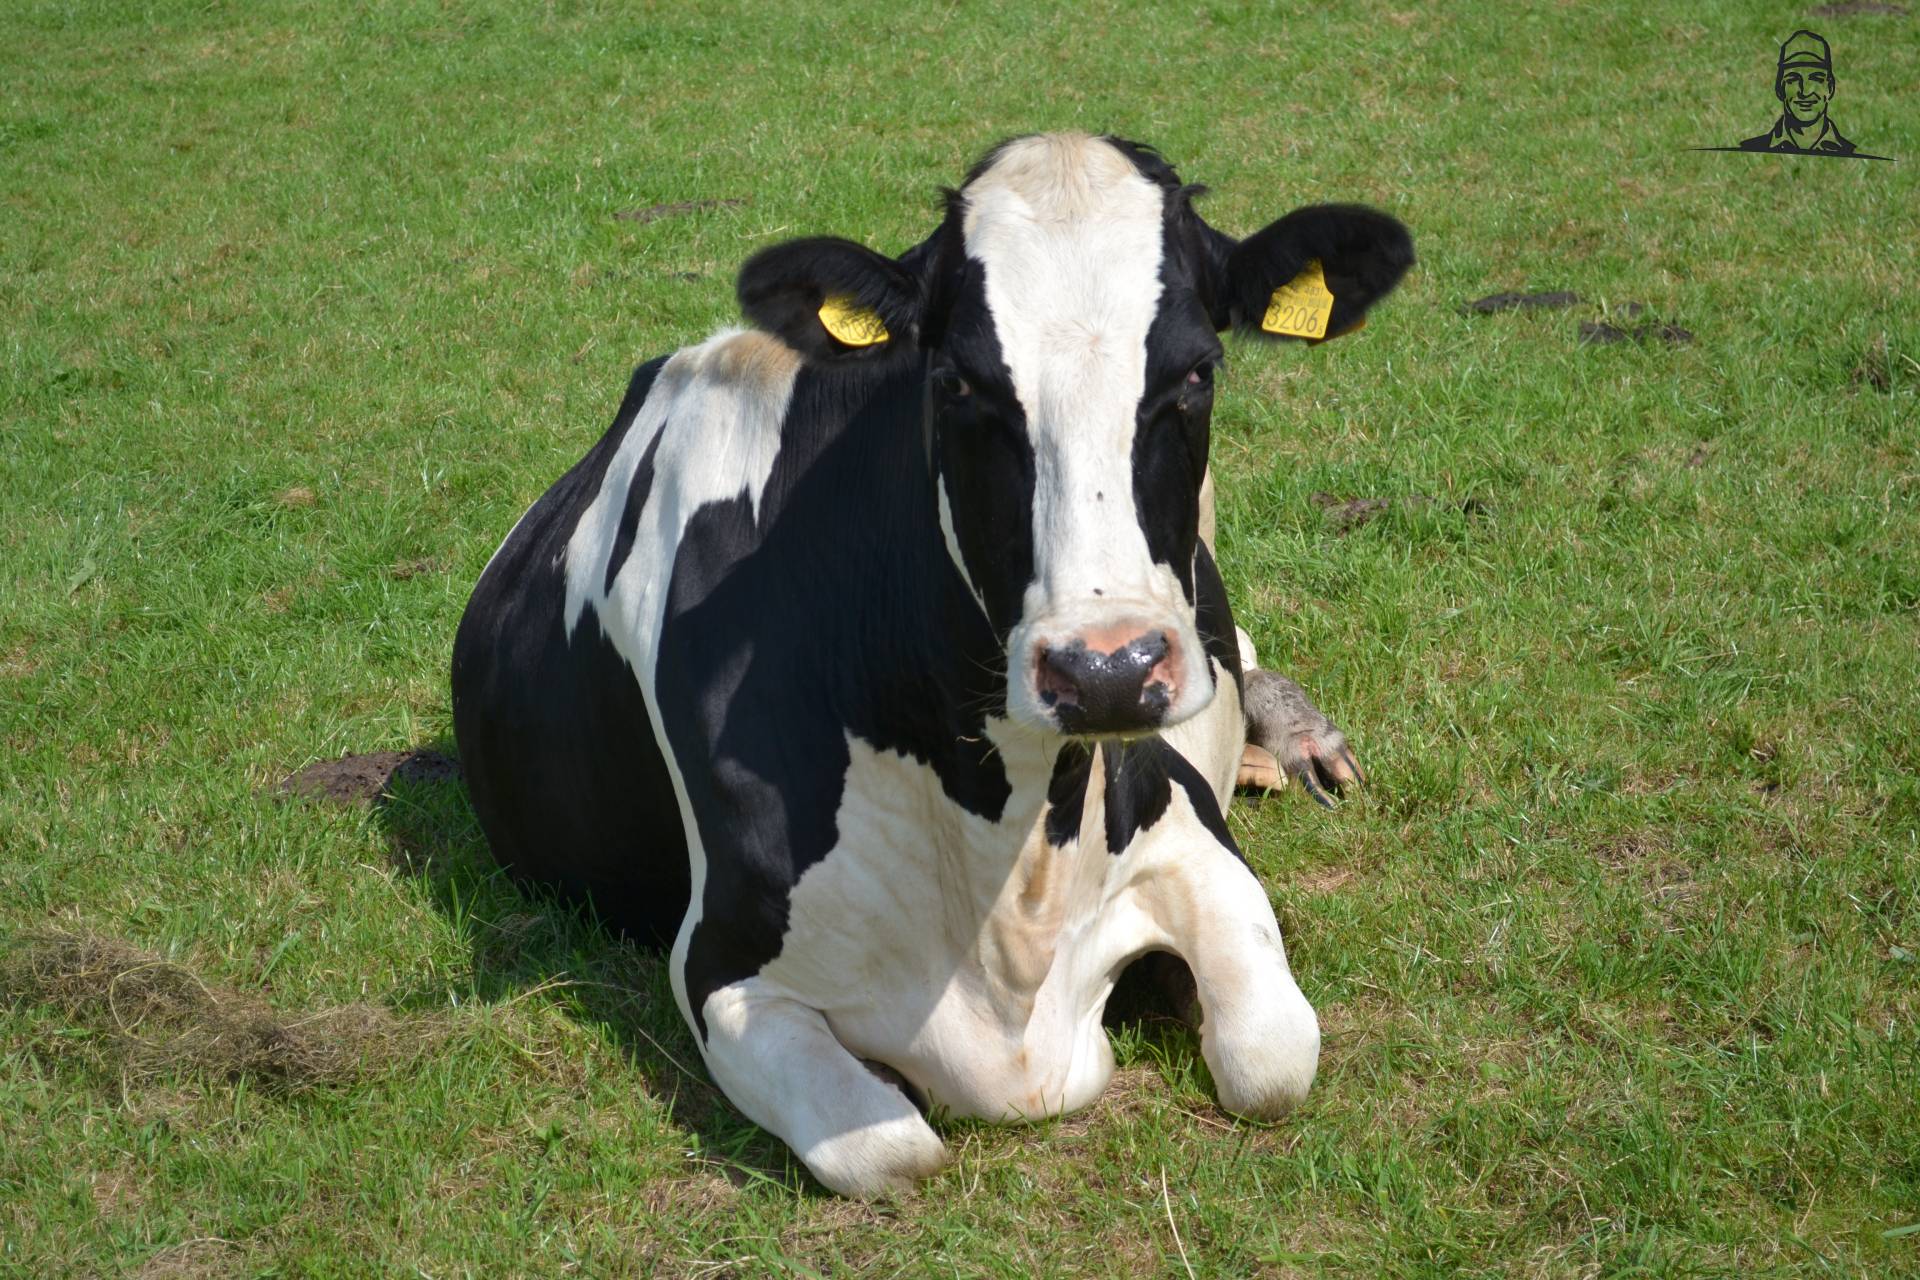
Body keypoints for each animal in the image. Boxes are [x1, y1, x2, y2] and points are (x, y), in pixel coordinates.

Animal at [451, 133, 1412, 1196]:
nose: (1106, 672)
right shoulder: (722, 968)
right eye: (956, 382)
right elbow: (891, 1149)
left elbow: (1272, 1059)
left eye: (1199, 371)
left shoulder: (1189, 836)